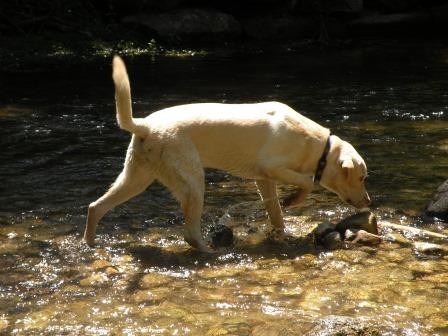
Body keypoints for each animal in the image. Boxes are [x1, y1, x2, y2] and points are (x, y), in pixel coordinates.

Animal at [84, 56, 372, 252]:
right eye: (362, 178)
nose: (369, 202)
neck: (318, 146)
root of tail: (144, 124)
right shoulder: (272, 168)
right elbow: (307, 183)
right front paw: (293, 199)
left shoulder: (263, 180)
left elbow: (276, 212)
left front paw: (282, 233)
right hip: (191, 181)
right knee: (190, 233)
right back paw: (212, 252)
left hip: (136, 178)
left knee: (95, 207)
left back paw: (90, 243)